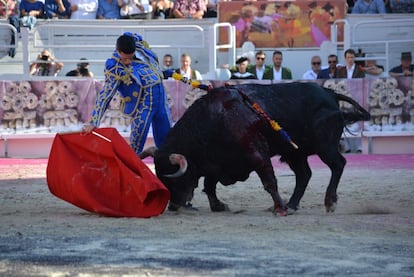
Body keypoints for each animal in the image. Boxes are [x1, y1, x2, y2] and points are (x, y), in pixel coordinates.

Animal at [141, 81, 370, 215]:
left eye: (175, 178)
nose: (173, 206)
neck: (213, 120)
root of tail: (329, 93)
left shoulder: (257, 155)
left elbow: (269, 182)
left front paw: (279, 208)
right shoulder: (214, 161)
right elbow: (209, 185)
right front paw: (218, 206)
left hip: (324, 146)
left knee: (338, 165)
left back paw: (328, 202)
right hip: (295, 153)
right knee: (304, 174)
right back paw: (293, 204)